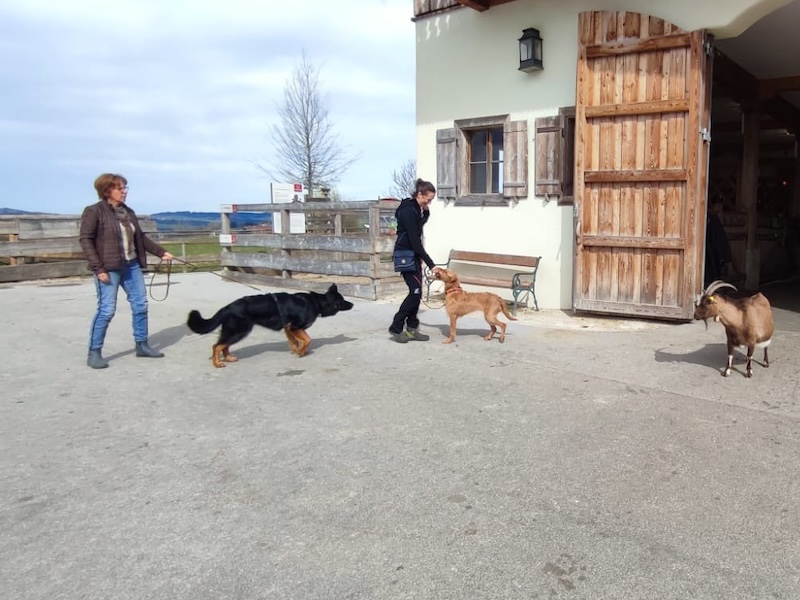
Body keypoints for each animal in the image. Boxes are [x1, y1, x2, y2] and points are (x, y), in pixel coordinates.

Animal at [186, 284, 354, 367]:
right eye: (343, 300)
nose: (352, 304)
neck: (316, 303)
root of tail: (228, 307)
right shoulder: (295, 327)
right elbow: (307, 340)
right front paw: (301, 352)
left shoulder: (288, 328)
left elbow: (294, 342)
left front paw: (297, 351)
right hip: (239, 330)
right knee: (217, 346)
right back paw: (217, 363)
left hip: (236, 331)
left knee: (224, 345)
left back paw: (228, 358)